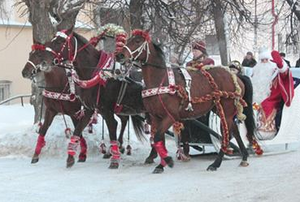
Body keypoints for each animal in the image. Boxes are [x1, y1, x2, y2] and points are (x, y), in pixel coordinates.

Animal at [25, 29, 146, 169]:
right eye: (30, 54)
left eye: (60, 41)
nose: (25, 72)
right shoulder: (72, 109)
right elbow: (62, 131)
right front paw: (66, 157)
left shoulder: (89, 111)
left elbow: (108, 129)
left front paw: (110, 159)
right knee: (125, 120)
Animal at [116, 30, 262, 174]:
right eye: (129, 39)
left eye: (137, 41)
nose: (119, 55)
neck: (161, 81)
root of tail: (236, 76)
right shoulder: (155, 117)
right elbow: (159, 140)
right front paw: (161, 164)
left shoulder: (170, 116)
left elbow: (157, 138)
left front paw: (167, 160)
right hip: (220, 110)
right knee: (235, 131)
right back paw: (243, 157)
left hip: (226, 111)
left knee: (226, 135)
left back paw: (216, 163)